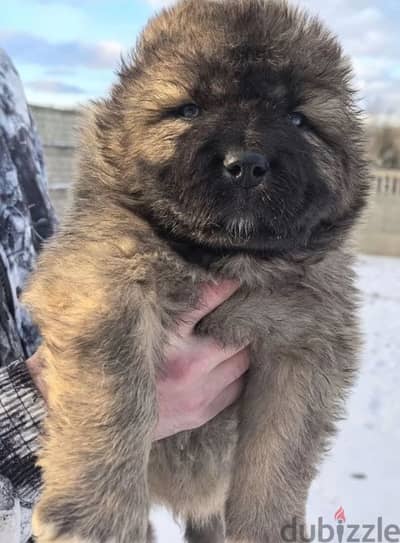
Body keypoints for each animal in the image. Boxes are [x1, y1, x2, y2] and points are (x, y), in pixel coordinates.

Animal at [24, 1, 368, 543]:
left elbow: (279, 452)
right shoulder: (103, 284)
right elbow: (115, 395)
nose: (245, 163)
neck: (223, 259)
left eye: (298, 118)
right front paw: (95, 516)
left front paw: (267, 529)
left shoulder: (307, 342)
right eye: (189, 110)